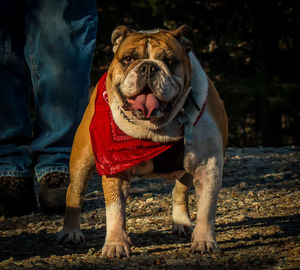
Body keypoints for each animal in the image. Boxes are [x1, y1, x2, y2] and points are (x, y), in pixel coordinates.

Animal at [56, 25, 227, 260]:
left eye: (170, 60)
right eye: (128, 59)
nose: (148, 67)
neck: (156, 128)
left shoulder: (208, 164)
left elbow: (207, 207)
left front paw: (204, 241)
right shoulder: (114, 165)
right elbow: (115, 210)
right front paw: (116, 243)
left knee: (180, 190)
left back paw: (182, 222)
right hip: (83, 159)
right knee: (74, 192)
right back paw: (71, 232)